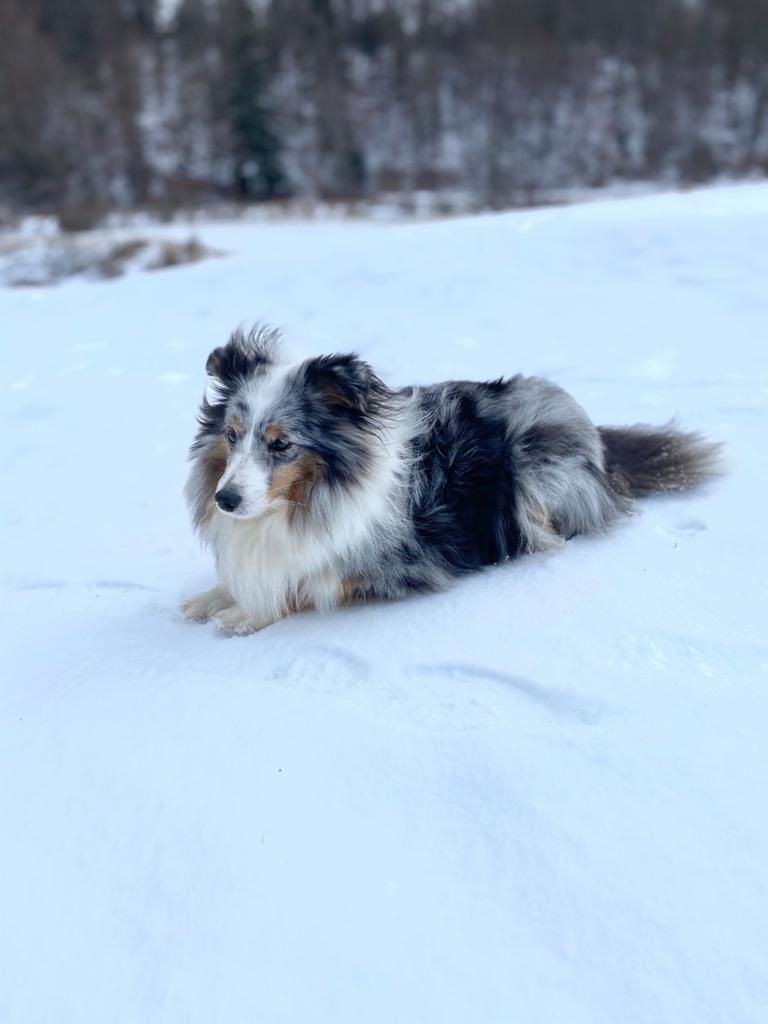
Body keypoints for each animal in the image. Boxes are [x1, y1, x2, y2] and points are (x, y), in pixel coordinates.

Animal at [183, 325, 724, 630]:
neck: (303, 501)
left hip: (532, 472)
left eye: (282, 444)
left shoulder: (403, 565)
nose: (225, 500)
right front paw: (212, 597)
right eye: (232, 435)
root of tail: (594, 435)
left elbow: (313, 582)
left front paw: (246, 612)